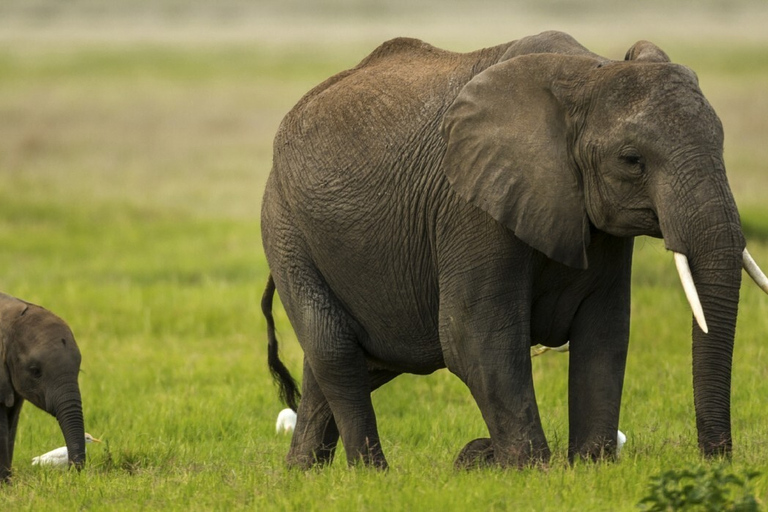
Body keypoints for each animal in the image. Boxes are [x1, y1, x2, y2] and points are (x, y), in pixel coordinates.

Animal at [260, 31, 768, 468]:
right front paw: (529, 470)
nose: (716, 457)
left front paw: (592, 465)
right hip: (287, 232)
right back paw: (374, 475)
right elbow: (474, 337)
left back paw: (302, 474)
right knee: (336, 353)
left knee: (350, 365)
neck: (588, 71)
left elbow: (605, 331)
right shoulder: (469, 205)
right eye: (631, 161)